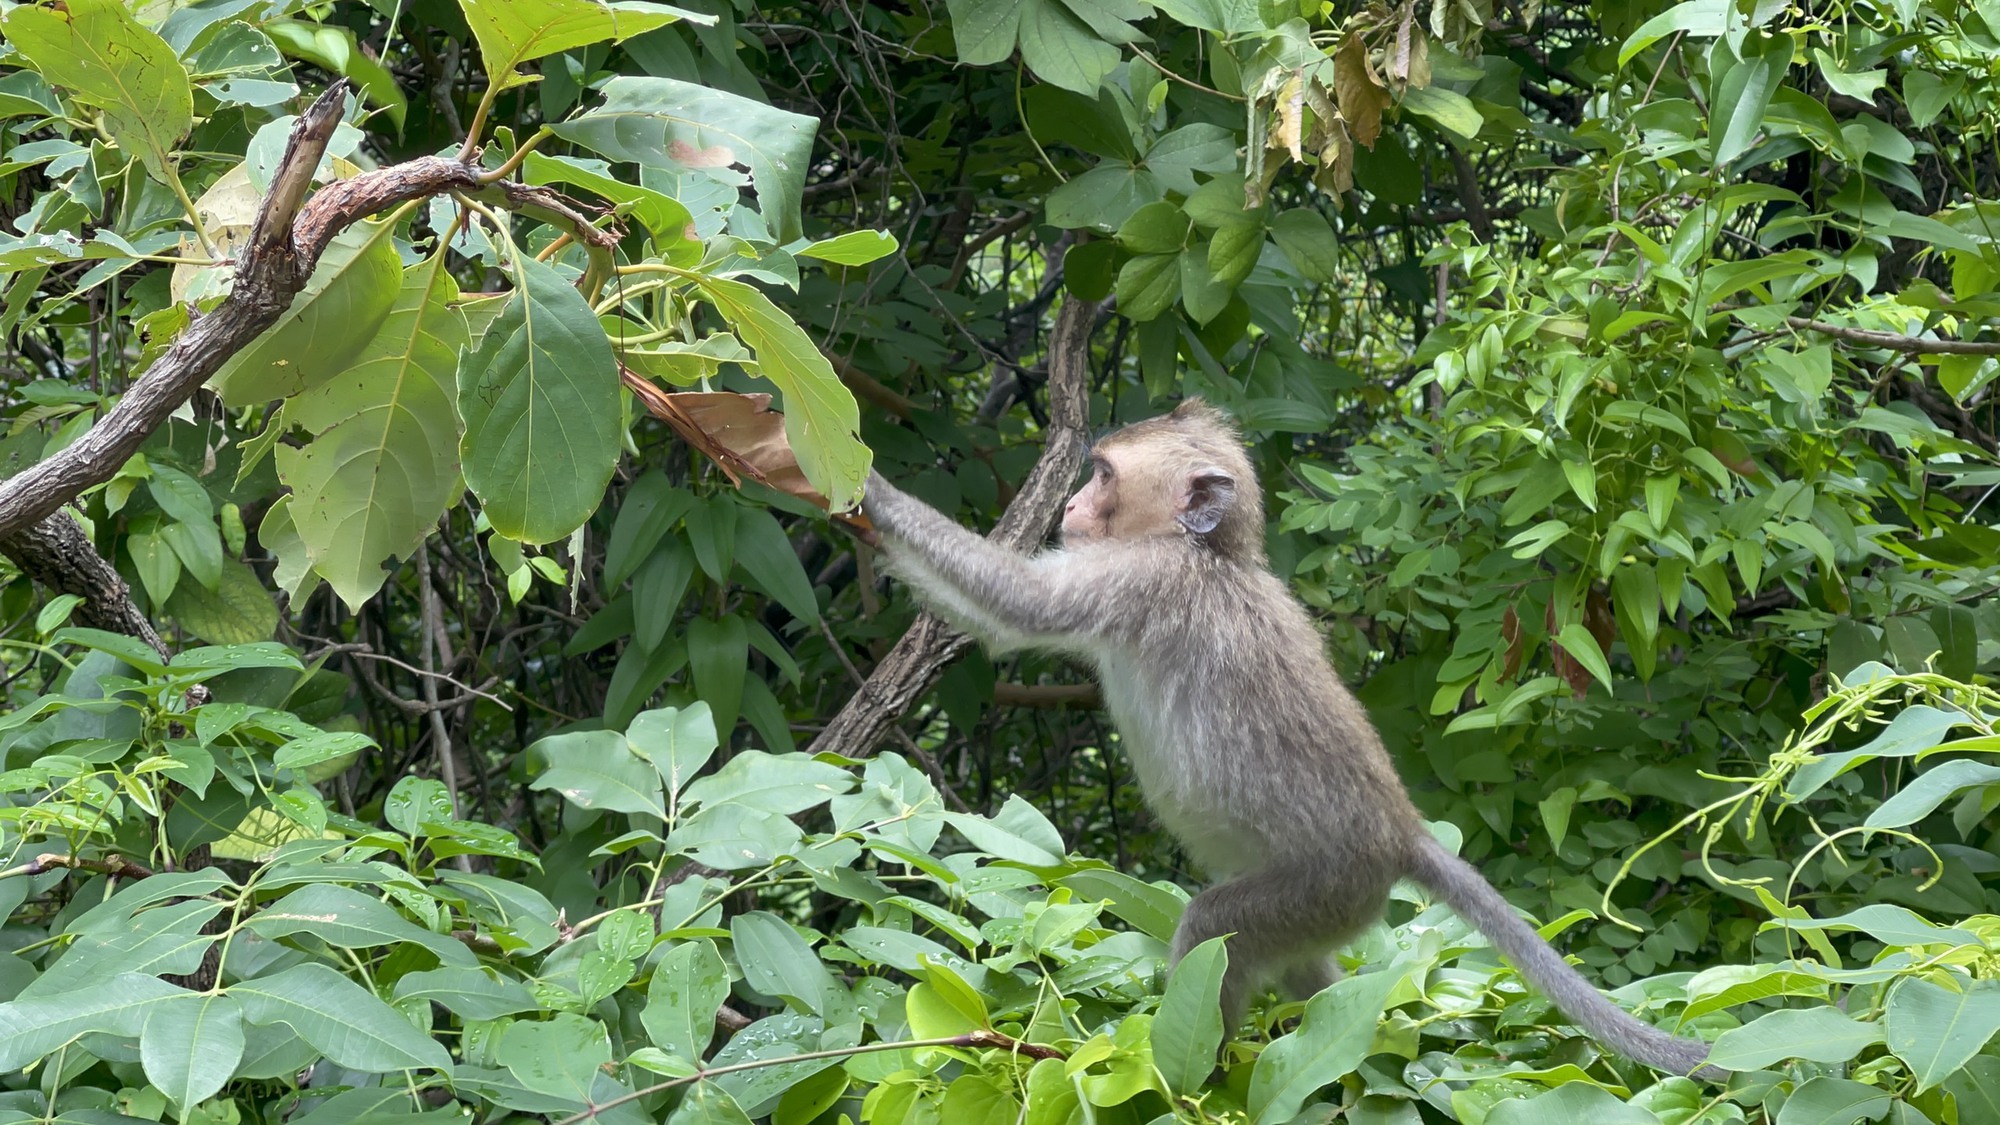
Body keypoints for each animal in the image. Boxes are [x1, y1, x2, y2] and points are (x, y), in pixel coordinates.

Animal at [860, 396, 1720, 1080]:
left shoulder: (1143, 577)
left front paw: (861, 489)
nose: (1069, 505)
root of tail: (1403, 832)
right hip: (1331, 905)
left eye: (1101, 475)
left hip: (1325, 883)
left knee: (1217, 929)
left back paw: (1190, 1074)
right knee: (1306, 962)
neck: (1211, 553)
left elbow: (1014, 604)